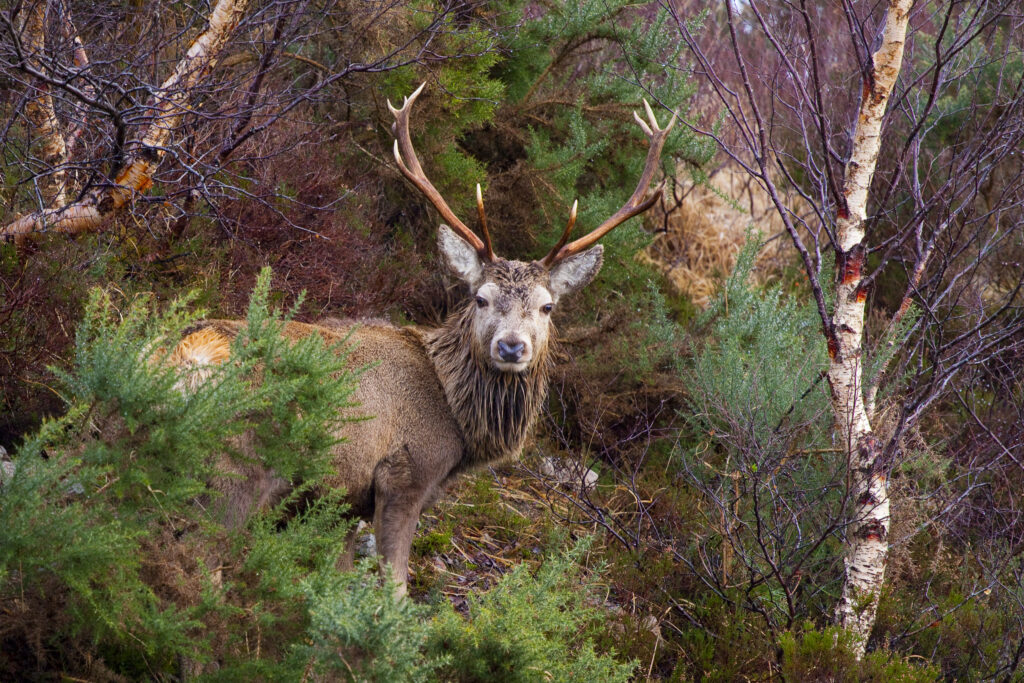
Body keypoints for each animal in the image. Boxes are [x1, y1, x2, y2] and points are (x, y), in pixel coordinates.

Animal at [174, 84, 675, 595]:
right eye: (480, 298)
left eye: (547, 306)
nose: (512, 347)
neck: (454, 418)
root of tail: (190, 357)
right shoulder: (404, 474)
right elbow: (395, 587)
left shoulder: (344, 500)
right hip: (235, 468)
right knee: (197, 558)